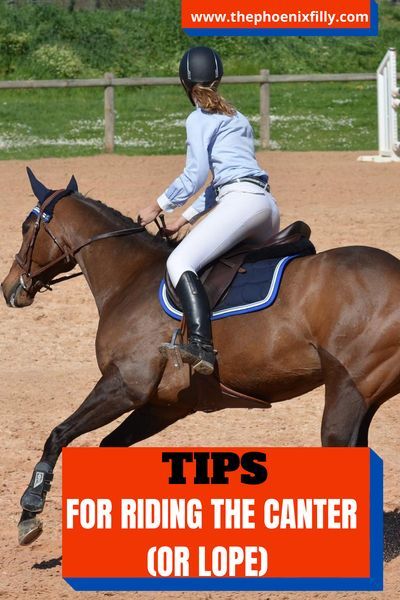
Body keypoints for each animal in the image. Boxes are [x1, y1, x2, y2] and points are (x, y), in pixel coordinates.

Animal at [2, 173, 400, 548]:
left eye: (26, 227)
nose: (9, 288)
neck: (131, 279)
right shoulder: (164, 405)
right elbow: (107, 446)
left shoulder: (125, 385)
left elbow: (58, 435)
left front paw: (29, 511)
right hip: (367, 396)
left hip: (348, 390)